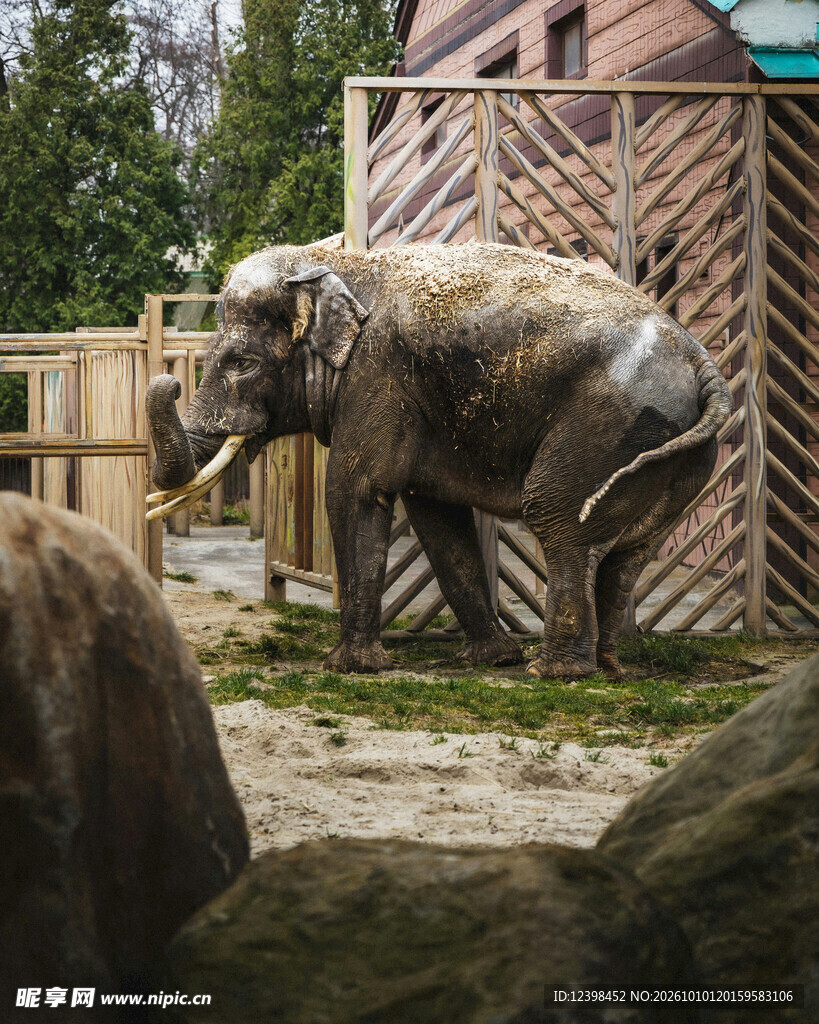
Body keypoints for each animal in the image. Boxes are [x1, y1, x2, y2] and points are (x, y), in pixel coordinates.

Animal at [146, 242, 731, 680]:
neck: (338, 264)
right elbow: (436, 515)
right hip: (672, 455)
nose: (169, 380)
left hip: (608, 424)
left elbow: (354, 492)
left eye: (241, 363)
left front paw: (349, 668)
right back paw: (604, 668)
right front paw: (490, 659)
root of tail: (704, 365)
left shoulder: (377, 375)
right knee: (628, 552)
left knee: (557, 517)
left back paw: (554, 673)